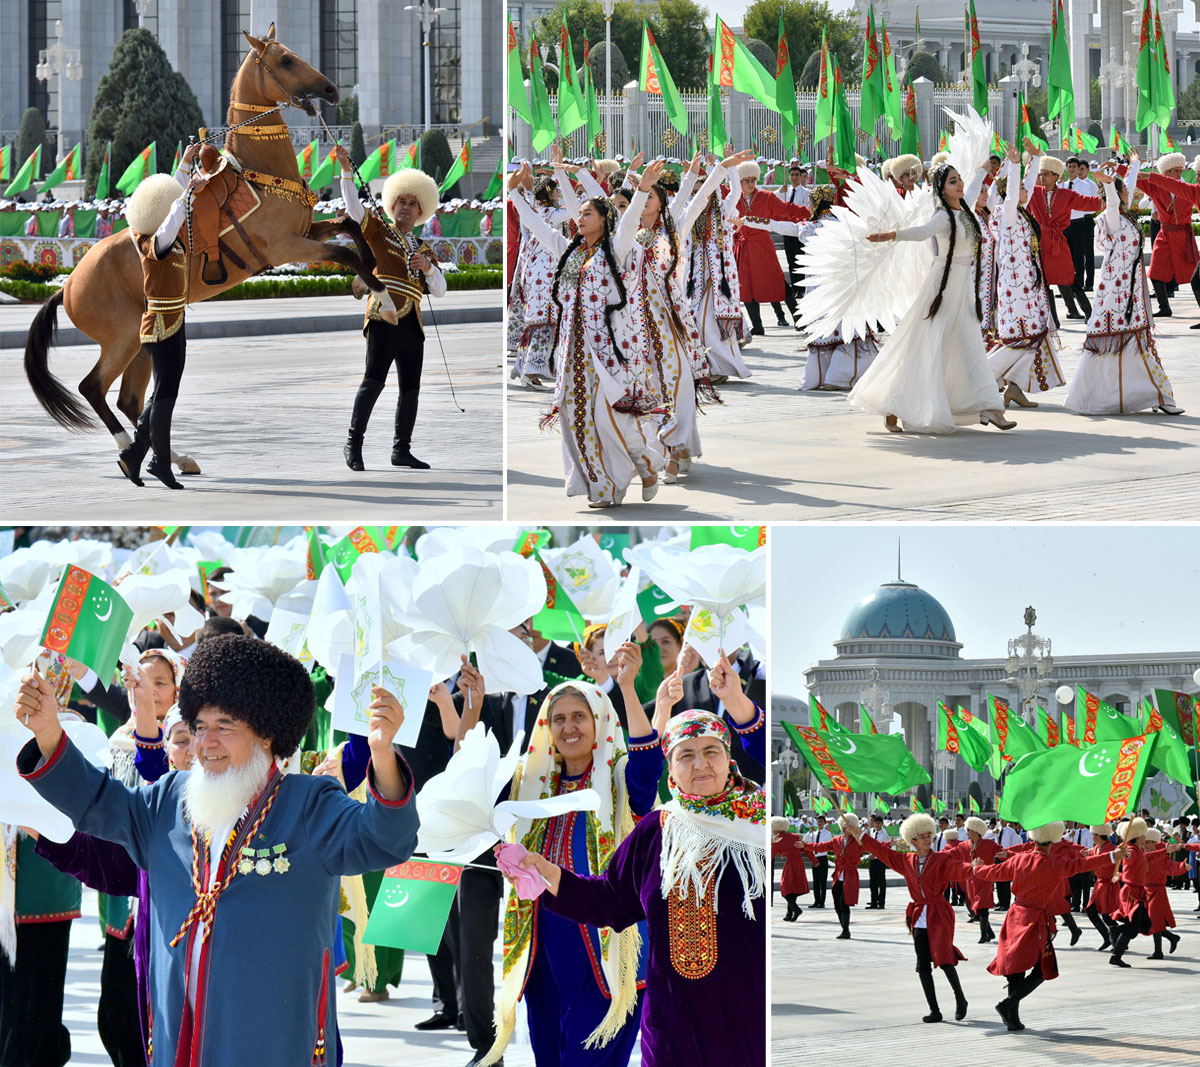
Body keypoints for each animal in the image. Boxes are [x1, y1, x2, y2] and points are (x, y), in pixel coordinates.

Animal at [23, 24, 384, 475]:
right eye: (286, 60)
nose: (332, 90)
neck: (261, 172)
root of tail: (66, 286)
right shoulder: (285, 248)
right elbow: (345, 253)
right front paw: (377, 286)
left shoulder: (307, 232)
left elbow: (350, 227)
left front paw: (371, 274)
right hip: (121, 340)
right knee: (94, 388)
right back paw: (128, 453)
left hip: (141, 344)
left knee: (130, 400)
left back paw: (173, 458)